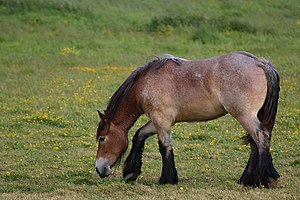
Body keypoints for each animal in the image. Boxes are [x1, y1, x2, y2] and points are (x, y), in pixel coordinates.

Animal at [95, 51, 280, 188]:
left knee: (261, 137)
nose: (99, 169)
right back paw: (248, 180)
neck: (144, 84)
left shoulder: (161, 120)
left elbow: (164, 147)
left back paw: (268, 178)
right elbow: (139, 135)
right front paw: (131, 173)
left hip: (245, 115)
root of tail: (260, 63)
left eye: (102, 138)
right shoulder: (160, 121)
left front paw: (167, 179)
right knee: (255, 142)